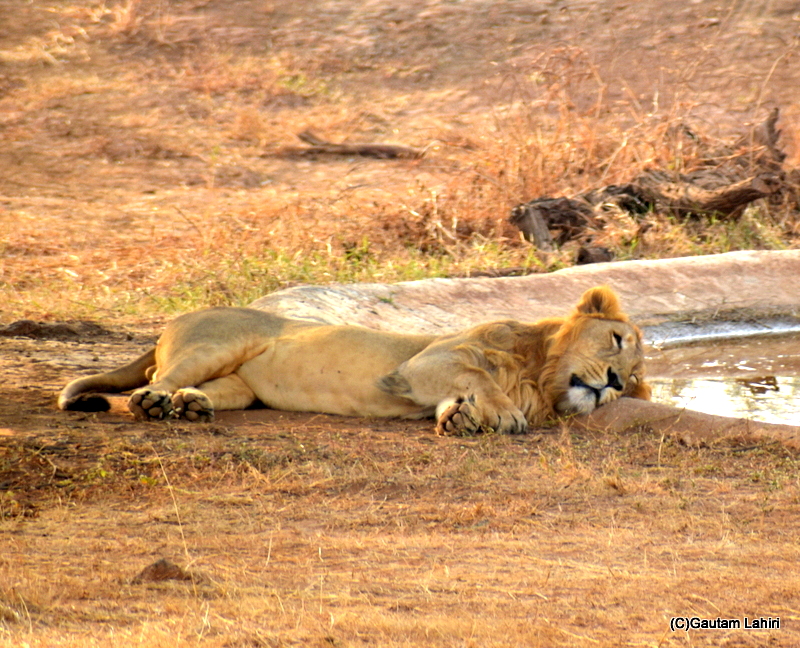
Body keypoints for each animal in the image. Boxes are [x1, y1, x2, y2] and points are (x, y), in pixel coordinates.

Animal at [58, 286, 650, 434]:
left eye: (635, 380)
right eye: (618, 340)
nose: (614, 381)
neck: (537, 373)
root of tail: (178, 318)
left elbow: (454, 403)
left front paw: (460, 420)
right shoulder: (429, 360)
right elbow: (481, 377)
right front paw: (501, 414)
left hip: (239, 386)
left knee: (207, 391)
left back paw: (191, 407)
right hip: (214, 344)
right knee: (157, 376)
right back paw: (154, 404)